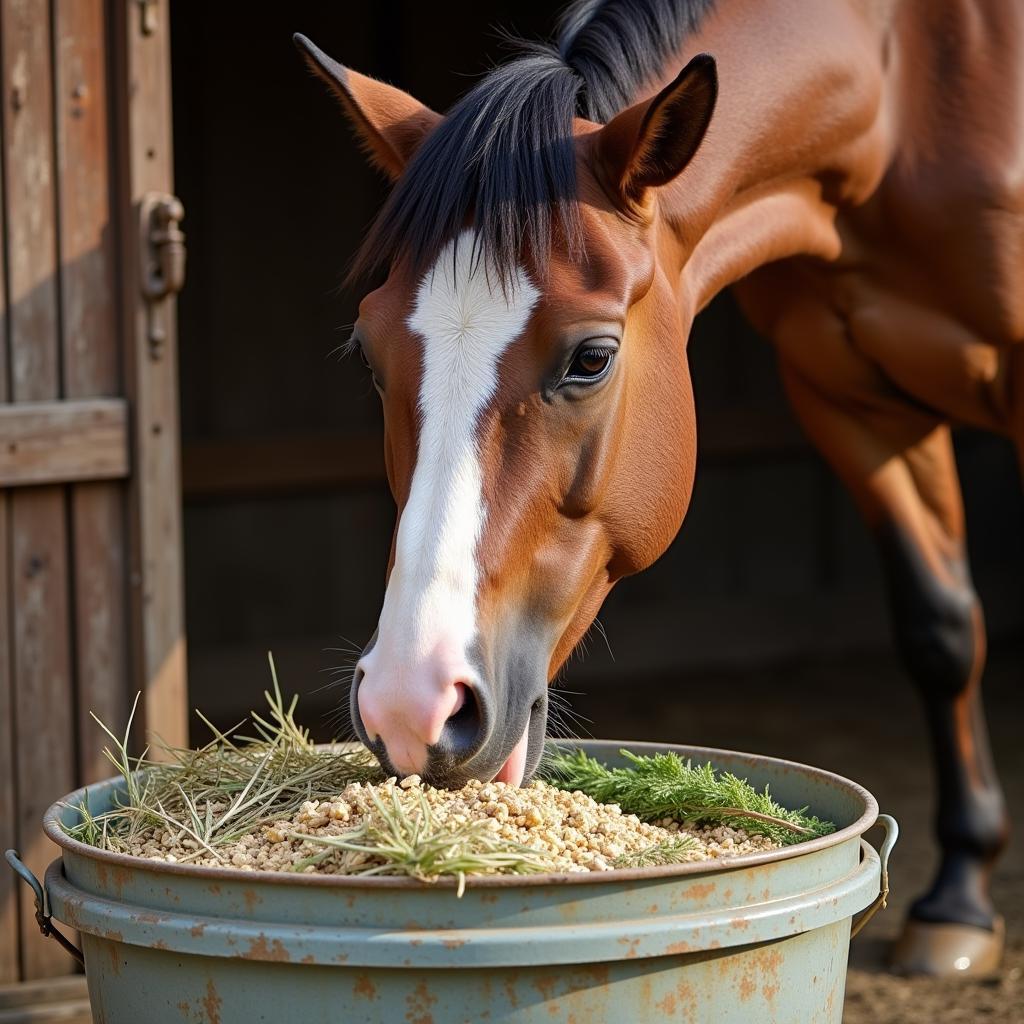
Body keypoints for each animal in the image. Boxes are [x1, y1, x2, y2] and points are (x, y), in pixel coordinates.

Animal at [292, 0, 1019, 974]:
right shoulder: (850, 402)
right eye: (371, 355)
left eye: (592, 357)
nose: (412, 706)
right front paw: (960, 901)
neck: (908, 90)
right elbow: (941, 630)